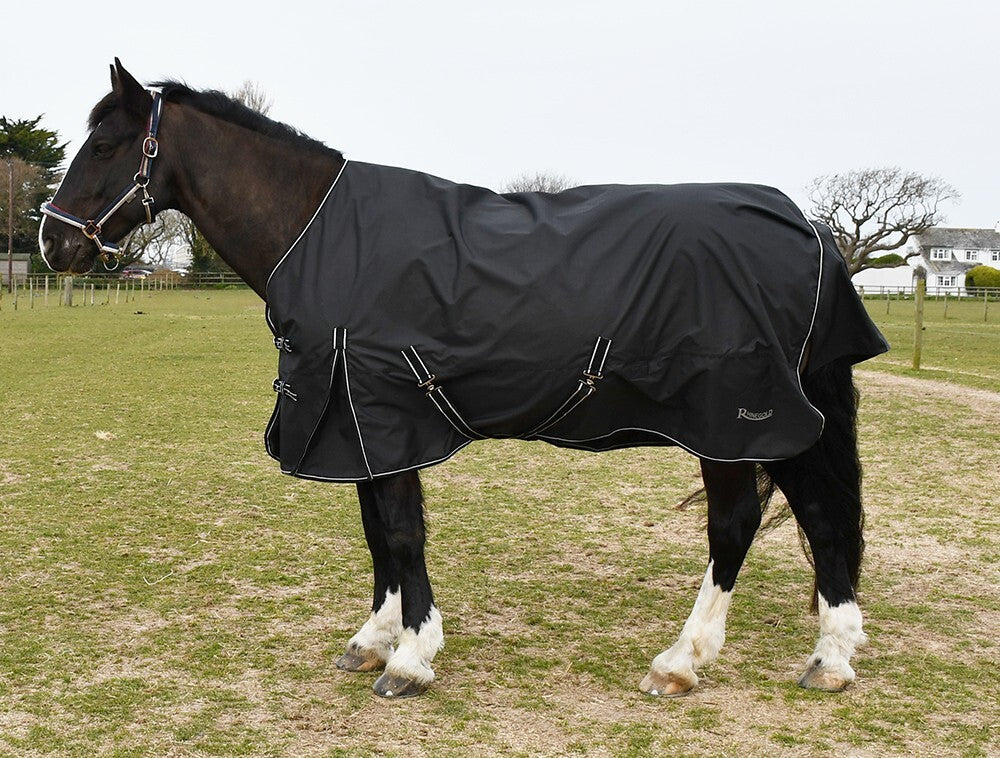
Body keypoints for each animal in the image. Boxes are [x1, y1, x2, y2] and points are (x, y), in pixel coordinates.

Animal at [39, 60, 887, 699]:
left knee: (737, 525)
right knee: (821, 515)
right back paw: (831, 658)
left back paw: (682, 663)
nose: (52, 242)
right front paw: (373, 640)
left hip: (731, 421)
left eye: (107, 144)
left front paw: (411, 660)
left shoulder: (385, 414)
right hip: (782, 421)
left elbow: (401, 533)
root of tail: (810, 230)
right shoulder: (355, 425)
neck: (325, 237)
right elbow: (376, 530)